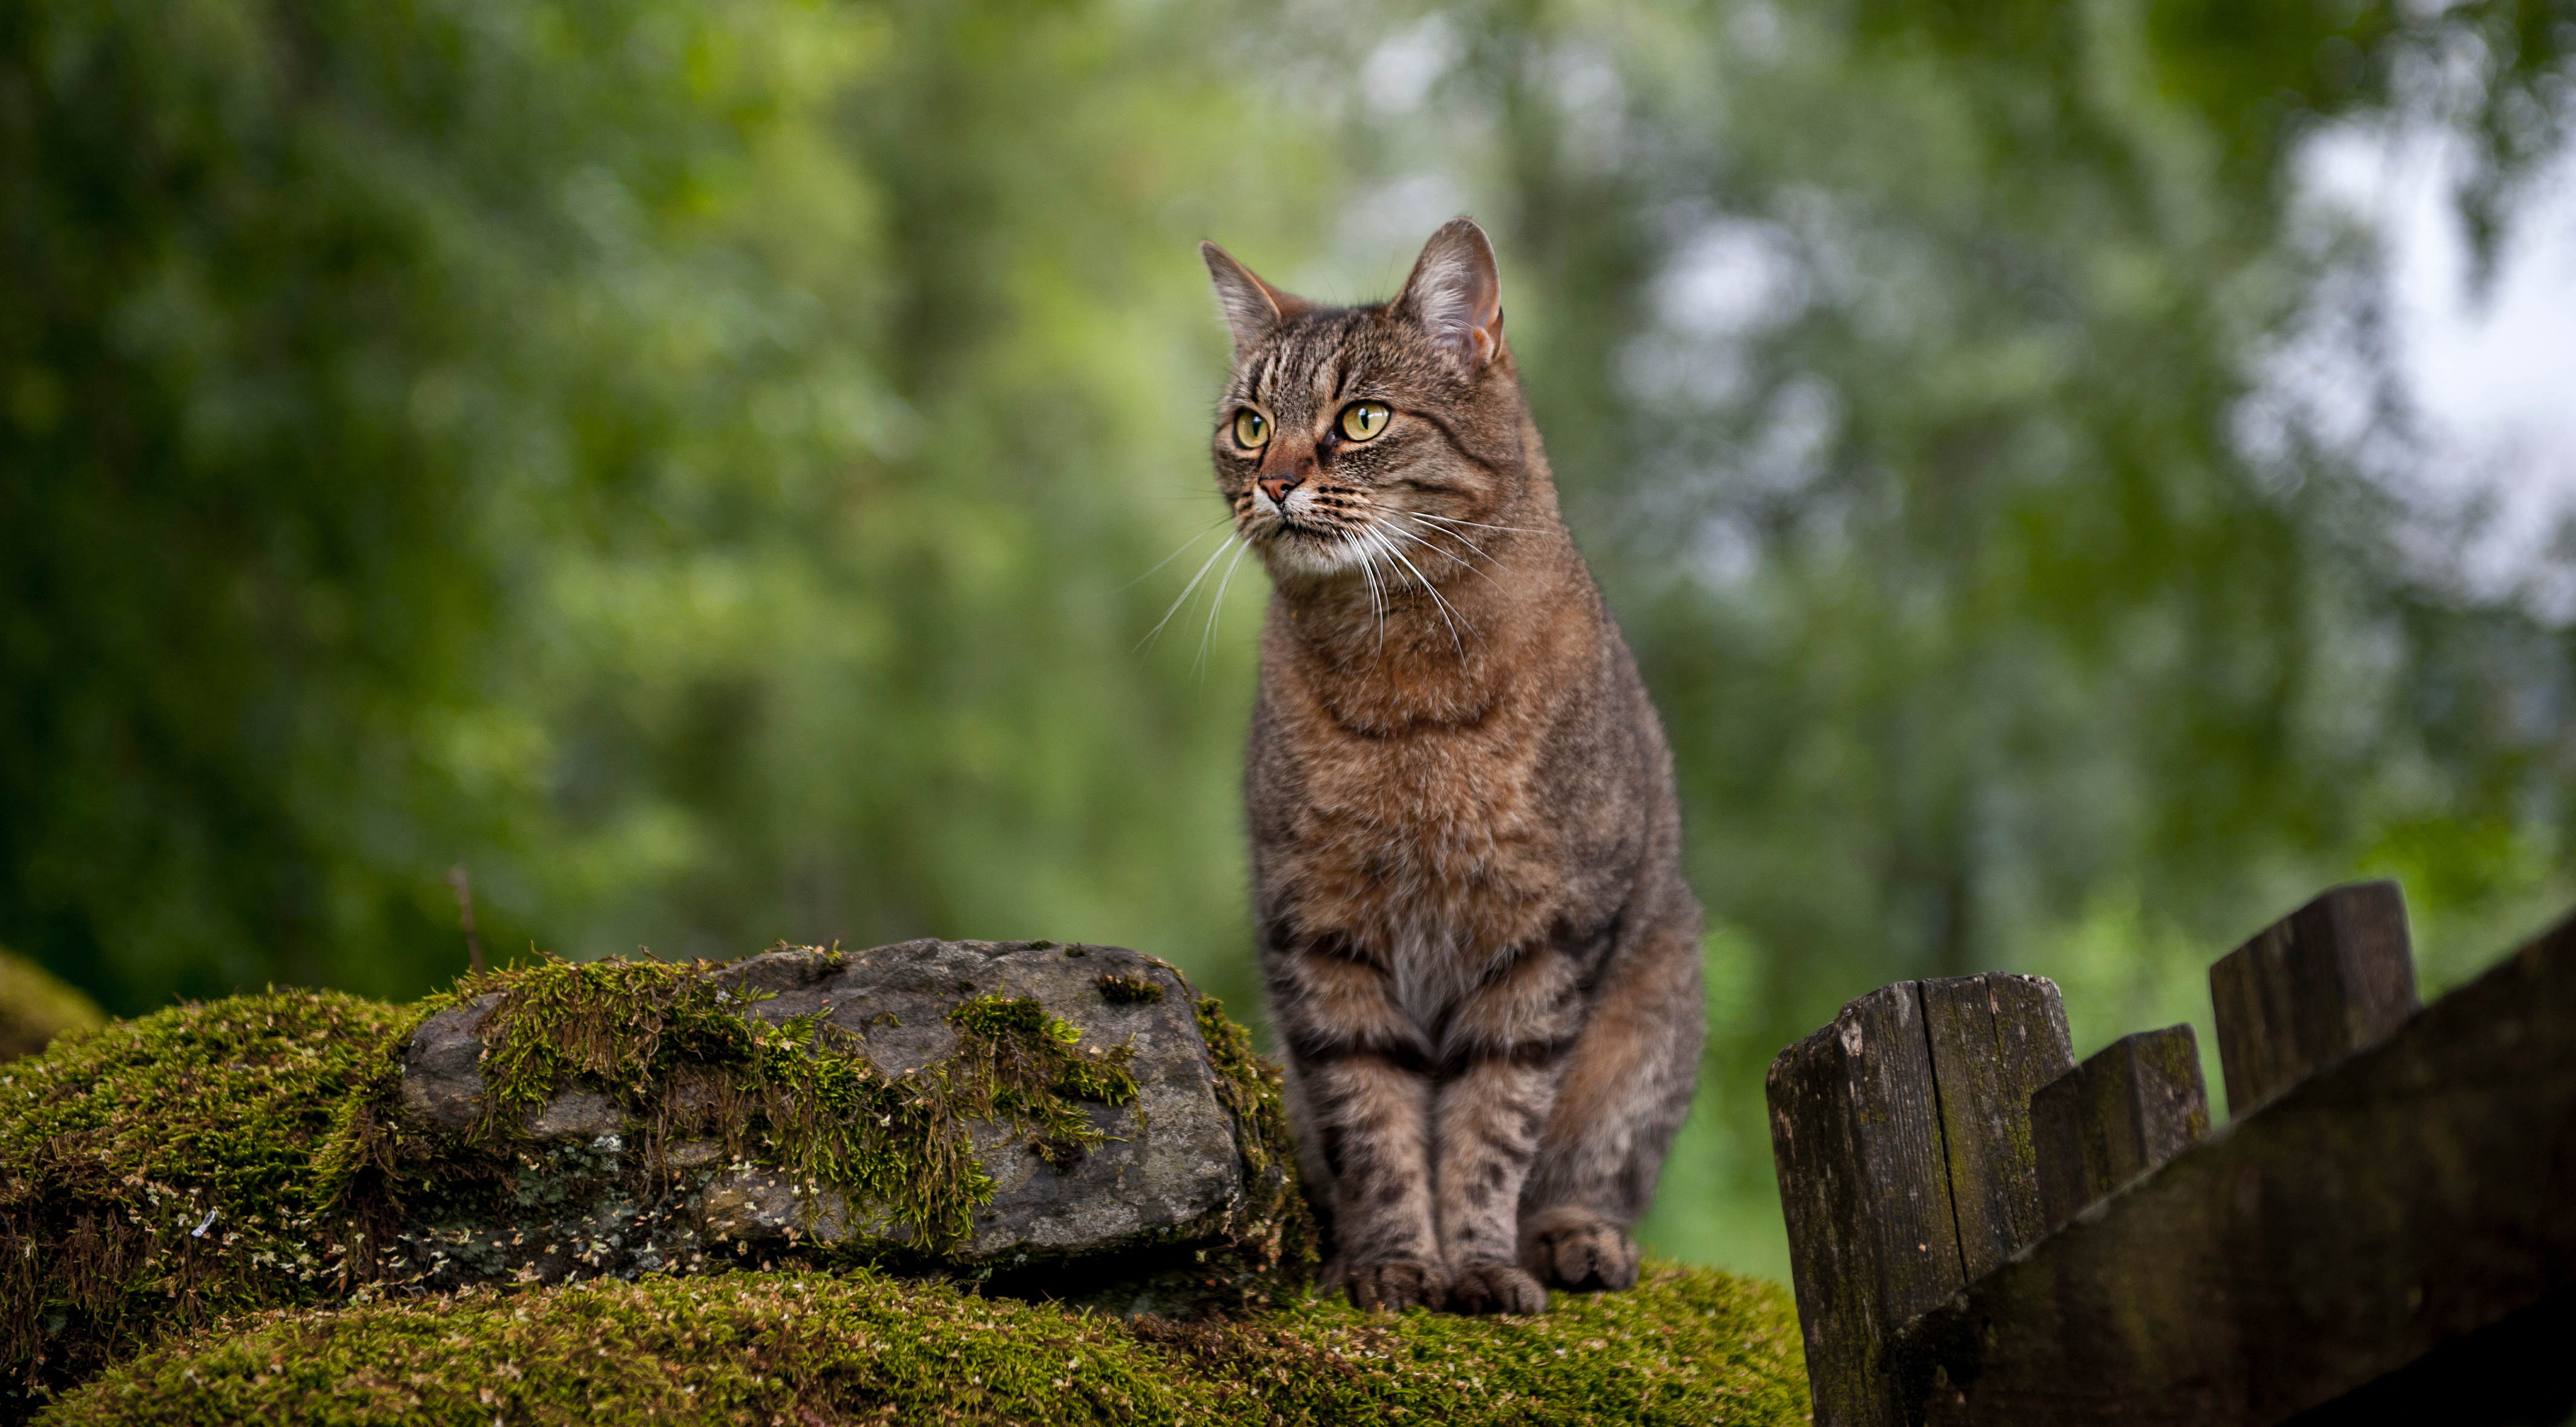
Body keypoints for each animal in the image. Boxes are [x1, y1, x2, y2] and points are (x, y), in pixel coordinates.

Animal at [1200, 214, 1710, 1308]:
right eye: (1251, 426)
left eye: (1360, 418)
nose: (1273, 481)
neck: (1404, 685)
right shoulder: (1321, 933)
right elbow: (1375, 1118)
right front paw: (1394, 1258)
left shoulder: (1548, 938)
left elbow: (1491, 1124)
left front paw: (1477, 1262)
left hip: (1654, 1002)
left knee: (1592, 1165)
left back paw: (1573, 1236)